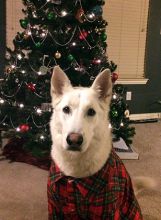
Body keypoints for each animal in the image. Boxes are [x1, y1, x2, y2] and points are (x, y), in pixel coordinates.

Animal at [47, 66, 143, 219]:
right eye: (66, 109)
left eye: (91, 112)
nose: (74, 140)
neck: (75, 174)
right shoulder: (54, 208)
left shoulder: (108, 211)